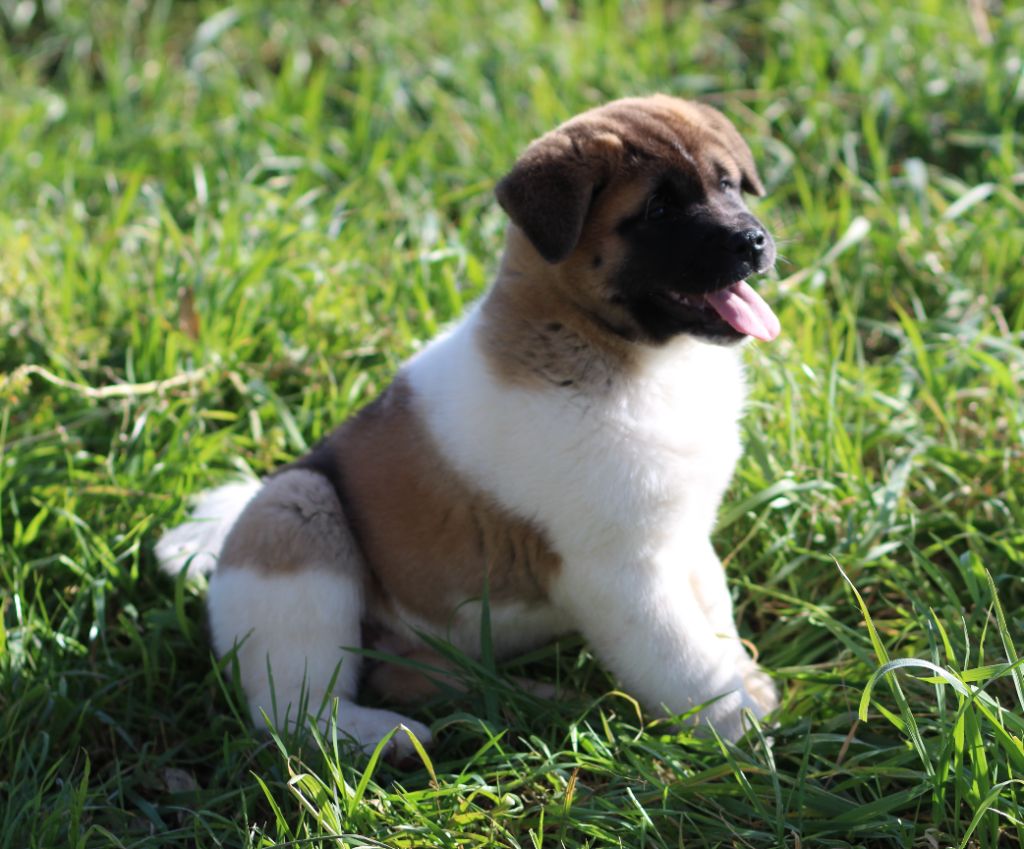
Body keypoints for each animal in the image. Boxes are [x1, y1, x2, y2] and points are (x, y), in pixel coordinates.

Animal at [155, 96, 778, 757]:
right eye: (658, 210)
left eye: (727, 184)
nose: (754, 240)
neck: (617, 350)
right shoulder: (623, 570)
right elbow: (687, 662)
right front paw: (738, 731)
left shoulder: (683, 536)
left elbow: (713, 620)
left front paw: (748, 685)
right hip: (295, 507)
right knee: (289, 712)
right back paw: (384, 737)